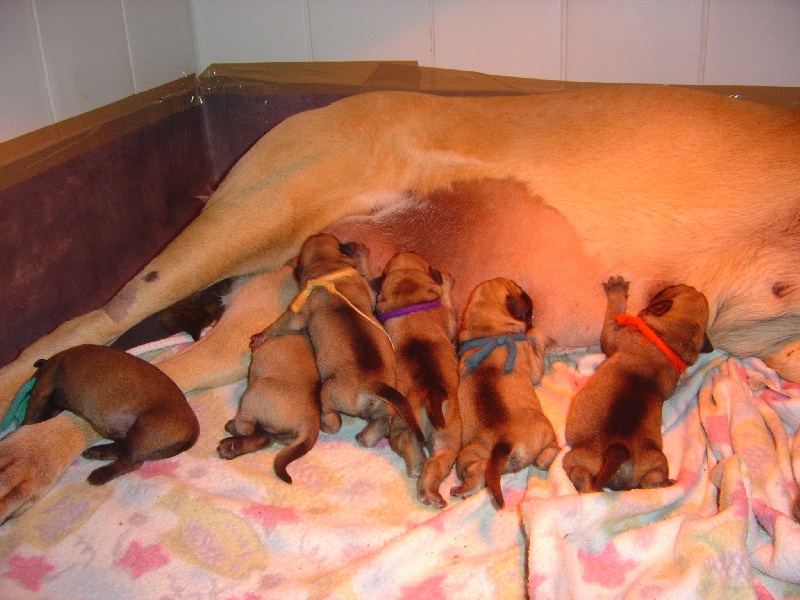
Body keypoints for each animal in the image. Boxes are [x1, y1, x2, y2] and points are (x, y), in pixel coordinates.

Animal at [21, 344, 198, 486]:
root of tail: (193, 425)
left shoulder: (41, 391)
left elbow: (30, 415)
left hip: (142, 431)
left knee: (130, 462)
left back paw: (100, 474)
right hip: (130, 435)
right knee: (121, 450)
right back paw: (97, 452)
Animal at [219, 330, 322, 486]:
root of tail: (311, 420)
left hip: (256, 389)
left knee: (247, 428)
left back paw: (232, 431)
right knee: (263, 438)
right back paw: (231, 447)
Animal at [376, 251, 462, 508]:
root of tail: (429, 393)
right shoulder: (450, 320)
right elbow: (446, 300)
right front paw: (446, 281)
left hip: (417, 428)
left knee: (419, 452)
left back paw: (422, 479)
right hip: (442, 435)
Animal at [454, 278, 560, 508]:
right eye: (520, 291)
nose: (528, 294)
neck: (491, 333)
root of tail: (506, 441)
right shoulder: (533, 363)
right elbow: (535, 341)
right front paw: (539, 334)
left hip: (470, 454)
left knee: (478, 472)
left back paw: (462, 490)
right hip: (545, 430)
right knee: (544, 457)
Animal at [564, 276, 712, 492]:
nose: (674, 283)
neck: (667, 342)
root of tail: (621, 454)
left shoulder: (612, 334)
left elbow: (614, 311)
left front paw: (617, 290)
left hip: (578, 458)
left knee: (582, 477)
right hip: (655, 460)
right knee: (651, 479)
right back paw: (665, 483)